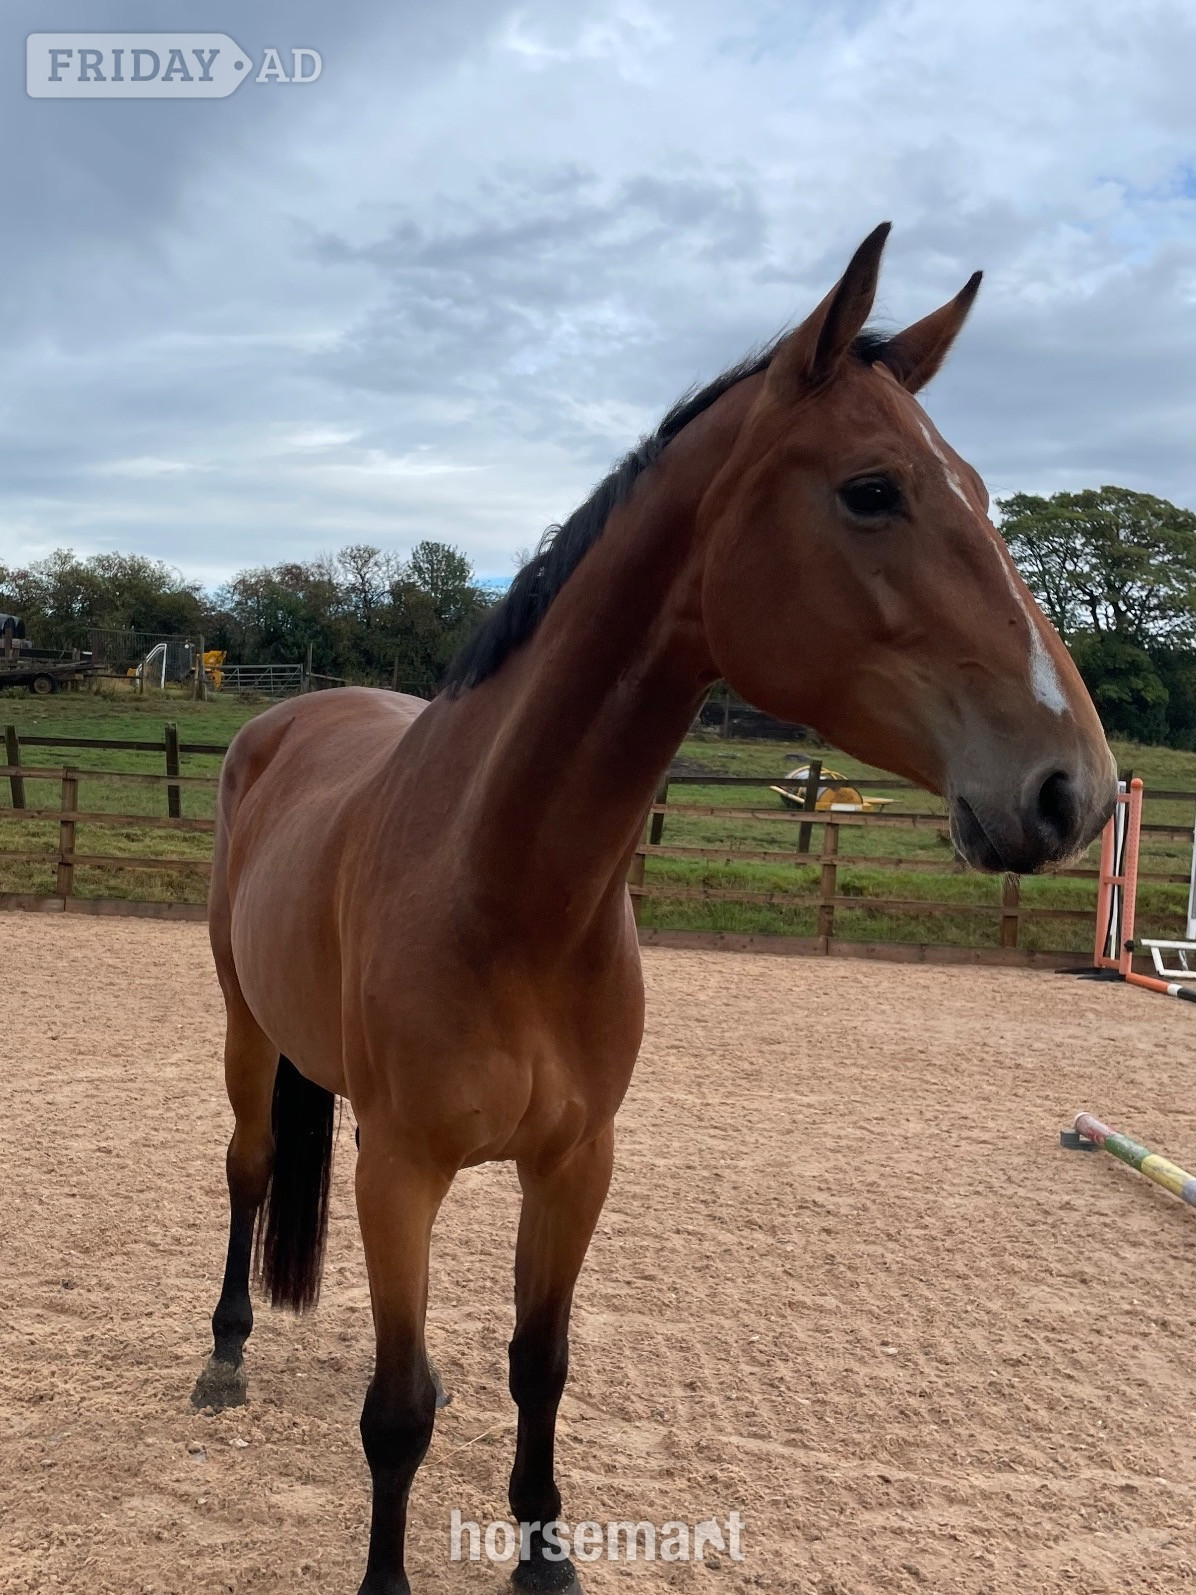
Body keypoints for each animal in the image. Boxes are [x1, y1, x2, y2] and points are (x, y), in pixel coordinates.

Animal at [192, 223, 1115, 1594]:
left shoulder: (576, 1163)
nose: (1076, 791)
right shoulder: (402, 1167)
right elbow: (392, 1416)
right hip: (250, 1035)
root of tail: (288, 713)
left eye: (985, 493)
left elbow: (539, 1363)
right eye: (872, 490)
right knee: (251, 1170)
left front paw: (542, 1549)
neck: (507, 884)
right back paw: (223, 1351)